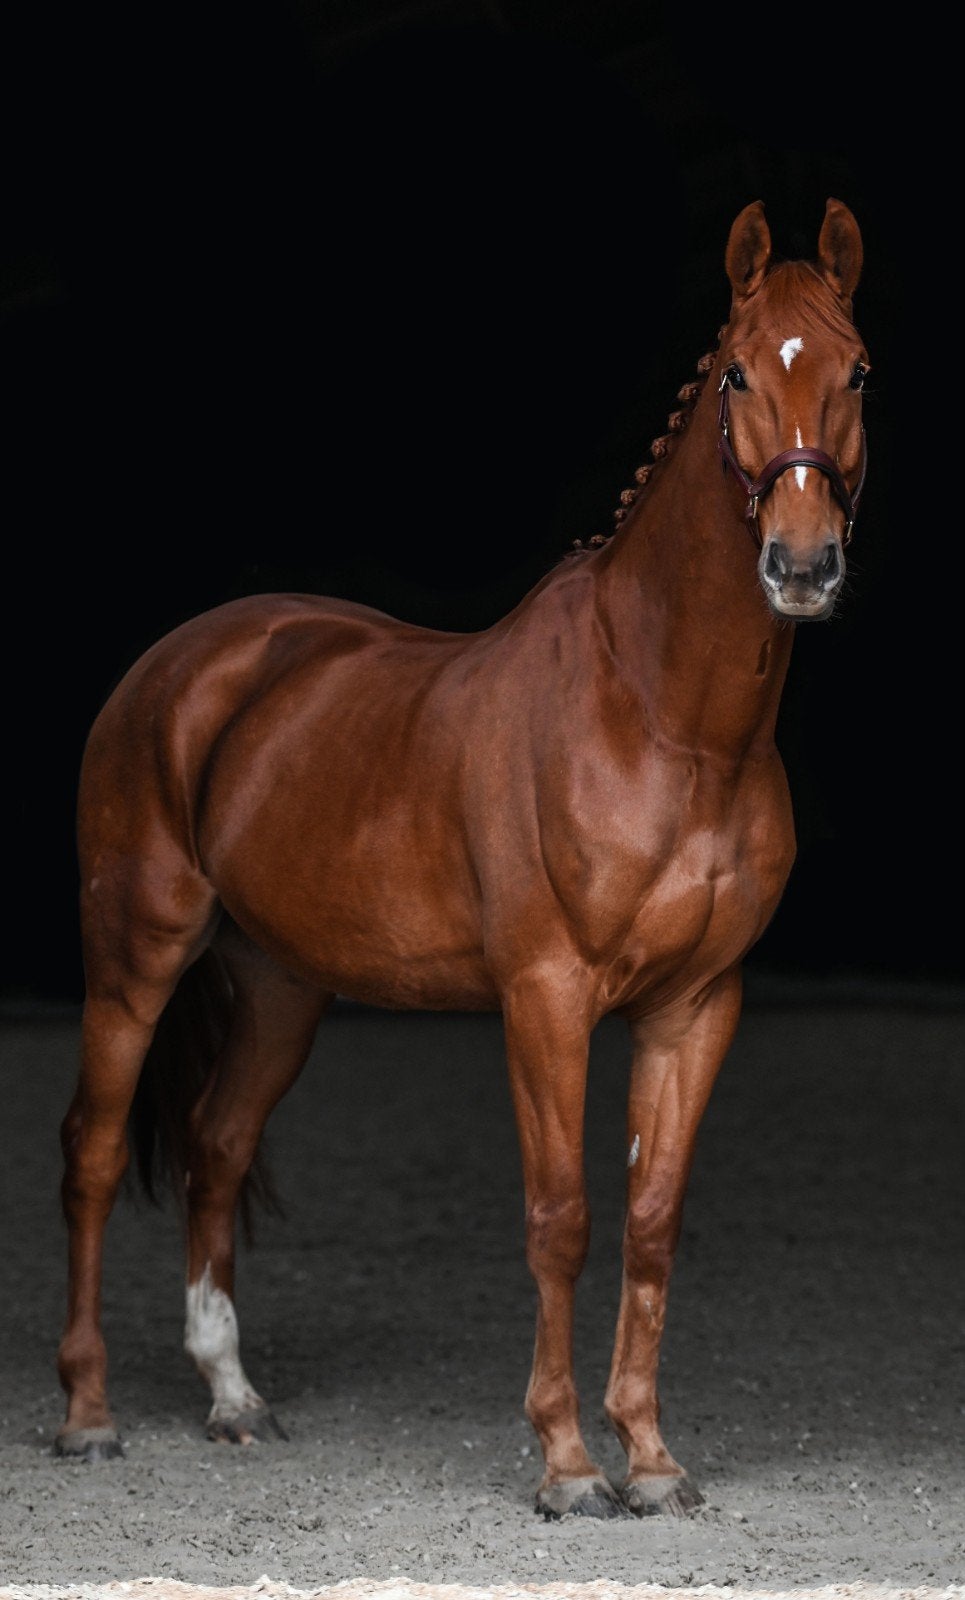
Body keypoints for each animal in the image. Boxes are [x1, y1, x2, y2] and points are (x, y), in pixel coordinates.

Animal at [56, 197, 869, 1519]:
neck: (664, 719)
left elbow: (650, 1220)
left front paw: (650, 1460)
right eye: (738, 372)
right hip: (135, 955)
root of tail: (181, 664)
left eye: (856, 372)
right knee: (90, 1148)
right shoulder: (544, 995)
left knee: (218, 1148)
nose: (800, 567)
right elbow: (562, 1217)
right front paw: (568, 1463)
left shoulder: (696, 1005)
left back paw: (233, 1395)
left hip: (281, 982)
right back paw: (86, 1412)